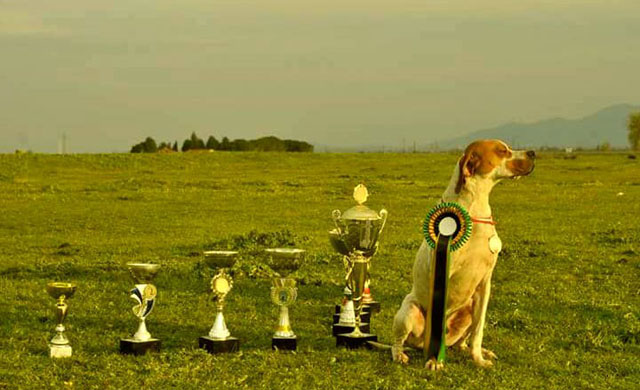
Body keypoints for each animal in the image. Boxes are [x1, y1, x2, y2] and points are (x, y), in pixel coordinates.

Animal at [390, 139, 536, 368]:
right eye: (502, 150)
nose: (533, 153)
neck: (474, 209)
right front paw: (434, 362)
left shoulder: (484, 285)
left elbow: (478, 332)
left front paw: (479, 359)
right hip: (409, 311)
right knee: (398, 341)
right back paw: (400, 355)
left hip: (468, 310)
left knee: (462, 341)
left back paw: (477, 351)